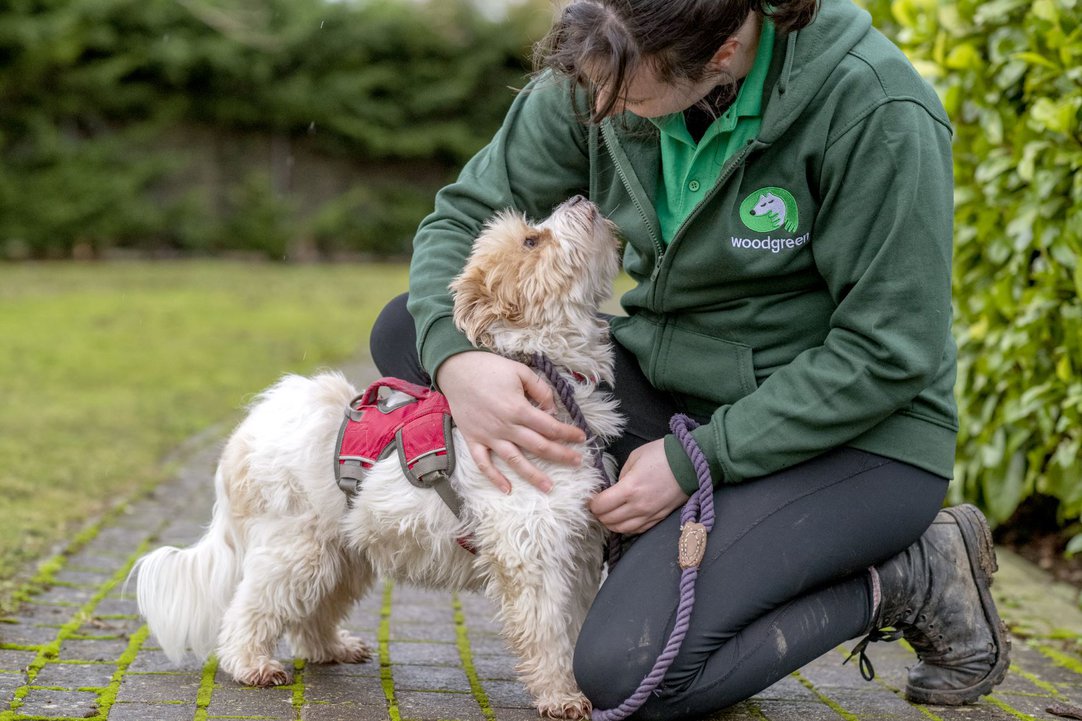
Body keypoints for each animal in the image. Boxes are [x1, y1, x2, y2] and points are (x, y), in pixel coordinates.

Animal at [133, 193, 627, 714]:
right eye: (532, 240)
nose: (579, 197)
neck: (553, 381)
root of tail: (245, 435)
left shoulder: (577, 555)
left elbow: (575, 630)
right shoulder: (530, 554)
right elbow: (548, 633)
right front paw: (561, 695)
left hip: (344, 553)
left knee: (309, 617)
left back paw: (332, 648)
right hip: (297, 551)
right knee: (250, 609)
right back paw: (252, 665)